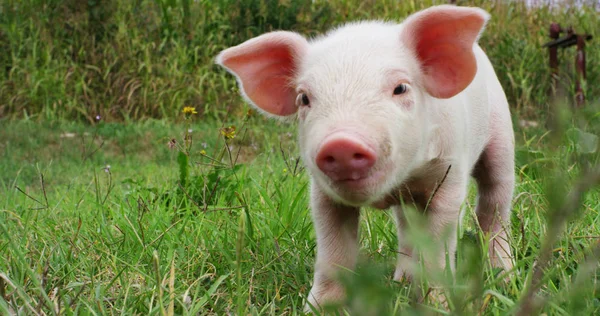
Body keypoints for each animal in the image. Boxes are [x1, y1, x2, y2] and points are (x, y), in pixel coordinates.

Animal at [216, 4, 516, 312]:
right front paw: (320, 309)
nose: (341, 142)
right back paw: (401, 280)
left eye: (401, 88)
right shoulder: (324, 195)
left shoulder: (450, 175)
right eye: (304, 98)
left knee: (495, 203)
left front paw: (437, 307)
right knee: (407, 227)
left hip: (502, 138)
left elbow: (438, 249)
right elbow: (333, 251)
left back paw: (503, 277)